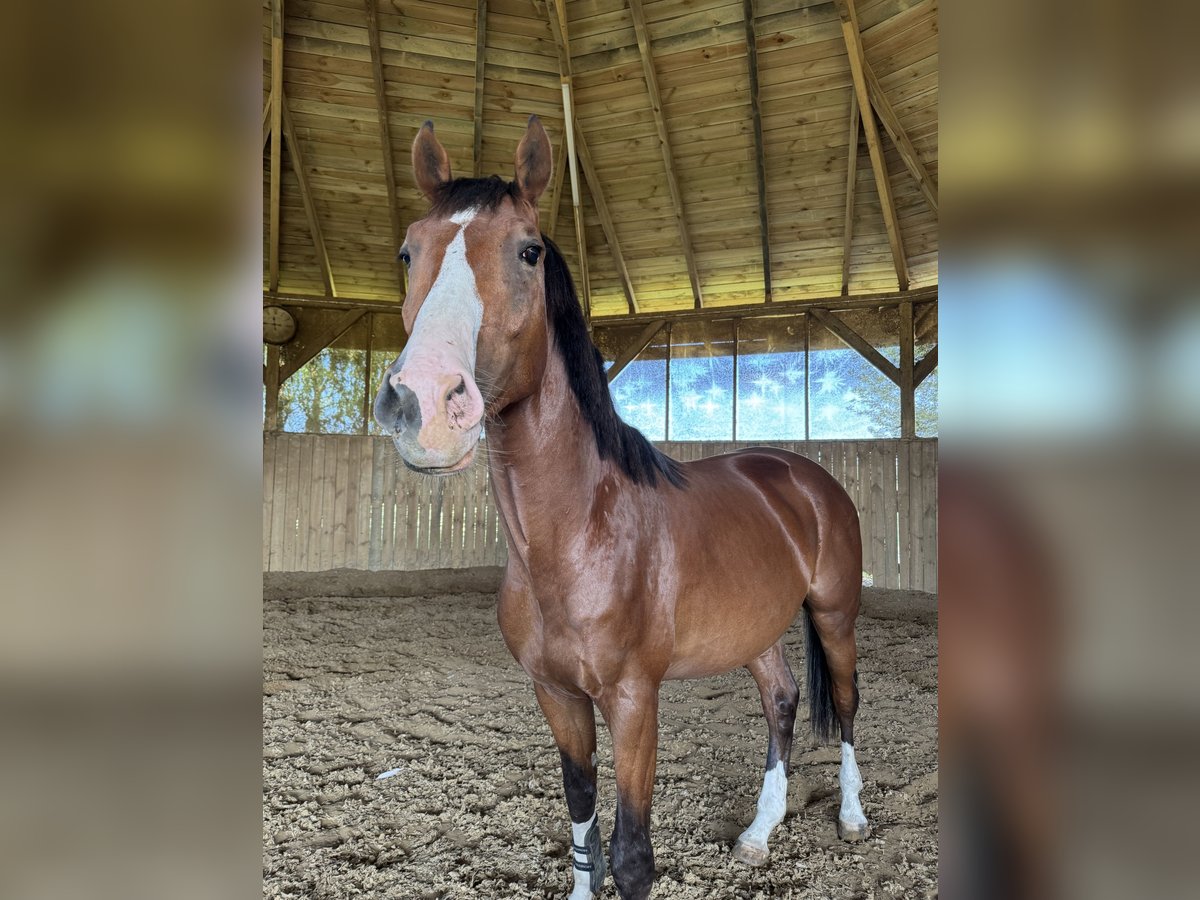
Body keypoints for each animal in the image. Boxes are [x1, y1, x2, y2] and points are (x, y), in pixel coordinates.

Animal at [369, 116, 868, 897]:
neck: (577, 535)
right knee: (782, 700)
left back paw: (851, 816)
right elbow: (582, 812)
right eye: (407, 251)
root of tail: (800, 475)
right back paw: (759, 834)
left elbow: (632, 855)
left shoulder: (634, 701)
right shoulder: (557, 696)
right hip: (756, 630)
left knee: (844, 704)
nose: (421, 401)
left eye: (529, 251)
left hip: (835, 613)